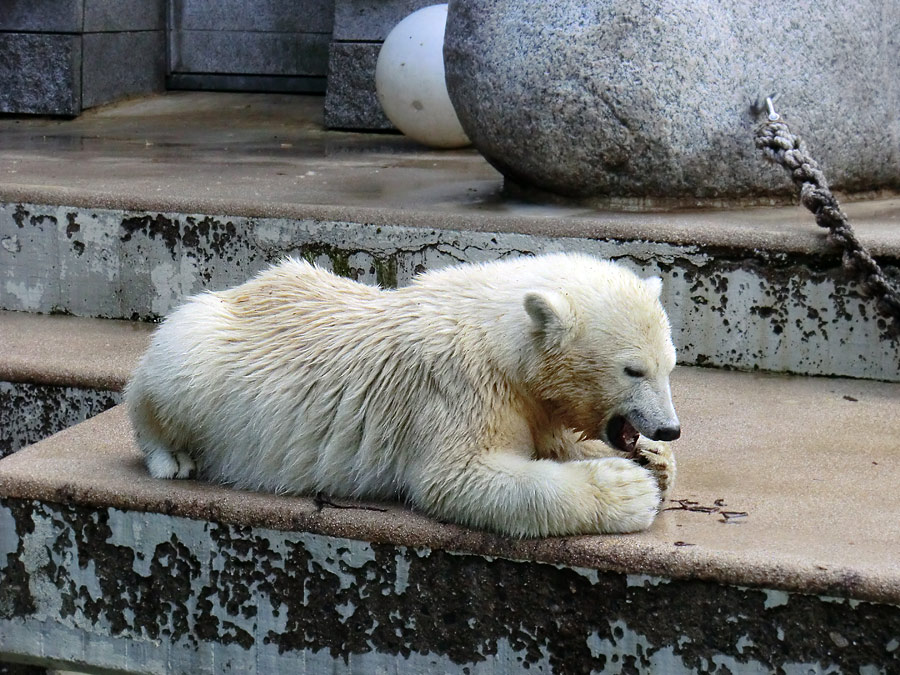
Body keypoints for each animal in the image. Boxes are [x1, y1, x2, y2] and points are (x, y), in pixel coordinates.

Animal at [123, 254, 680, 540]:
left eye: (669, 365)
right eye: (633, 369)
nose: (670, 427)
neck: (499, 338)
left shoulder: (528, 398)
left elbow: (552, 438)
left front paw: (656, 461)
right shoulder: (459, 386)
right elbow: (458, 477)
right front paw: (628, 489)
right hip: (199, 357)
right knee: (166, 380)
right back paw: (173, 458)